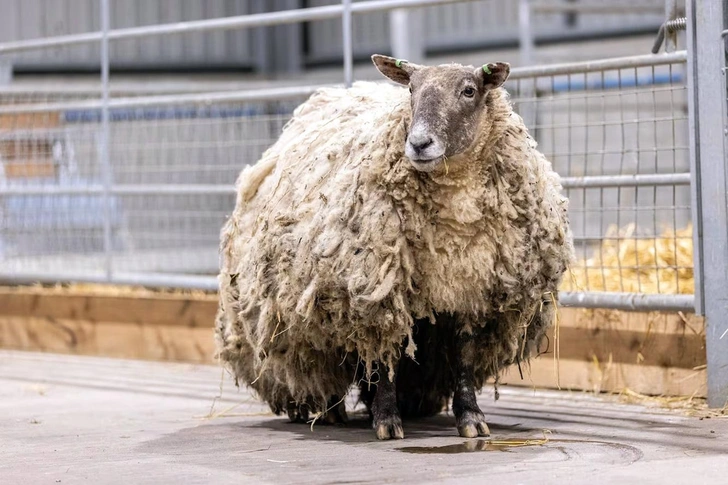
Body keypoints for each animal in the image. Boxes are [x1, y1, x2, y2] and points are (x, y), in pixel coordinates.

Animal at [216, 53, 576, 438]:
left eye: (469, 90)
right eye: (411, 89)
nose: (419, 144)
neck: (456, 224)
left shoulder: (474, 294)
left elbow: (463, 358)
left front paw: (471, 418)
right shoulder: (378, 291)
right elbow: (384, 356)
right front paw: (387, 420)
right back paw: (325, 409)